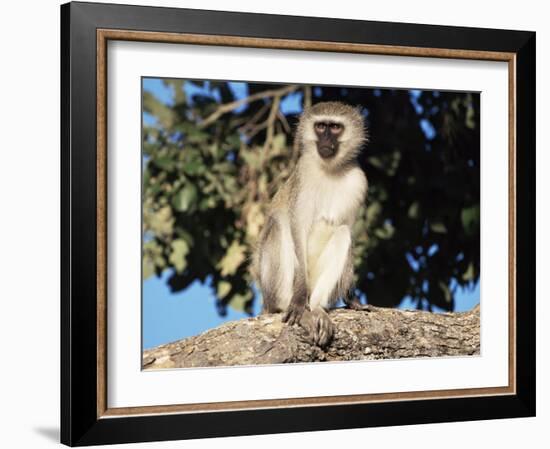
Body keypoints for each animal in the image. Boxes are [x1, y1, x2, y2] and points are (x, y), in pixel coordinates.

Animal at [254, 102, 370, 346]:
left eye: (334, 127)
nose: (325, 140)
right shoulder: (303, 175)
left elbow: (349, 229)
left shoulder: (359, 181)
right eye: (320, 127)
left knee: (343, 233)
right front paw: (298, 302)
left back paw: (317, 309)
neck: (330, 171)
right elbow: (297, 228)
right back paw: (296, 308)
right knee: (279, 224)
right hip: (274, 290)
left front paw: (352, 299)